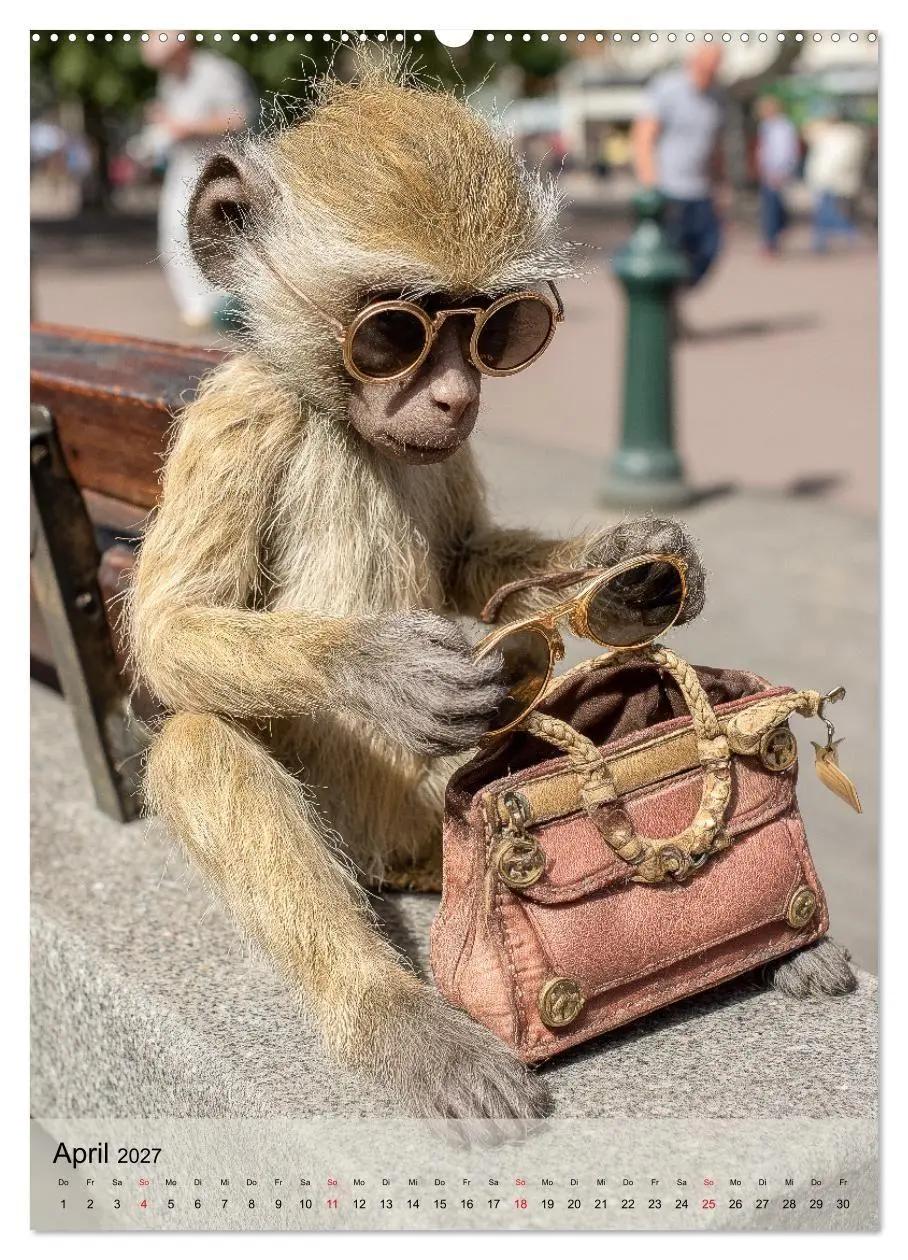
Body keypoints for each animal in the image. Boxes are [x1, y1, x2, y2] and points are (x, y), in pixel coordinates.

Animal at [128, 60, 854, 1122]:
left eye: (496, 332)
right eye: (392, 333)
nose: (454, 395)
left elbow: (471, 558)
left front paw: (630, 569)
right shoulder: (245, 414)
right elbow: (167, 631)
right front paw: (383, 667)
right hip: (389, 825)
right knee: (196, 738)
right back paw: (395, 1015)